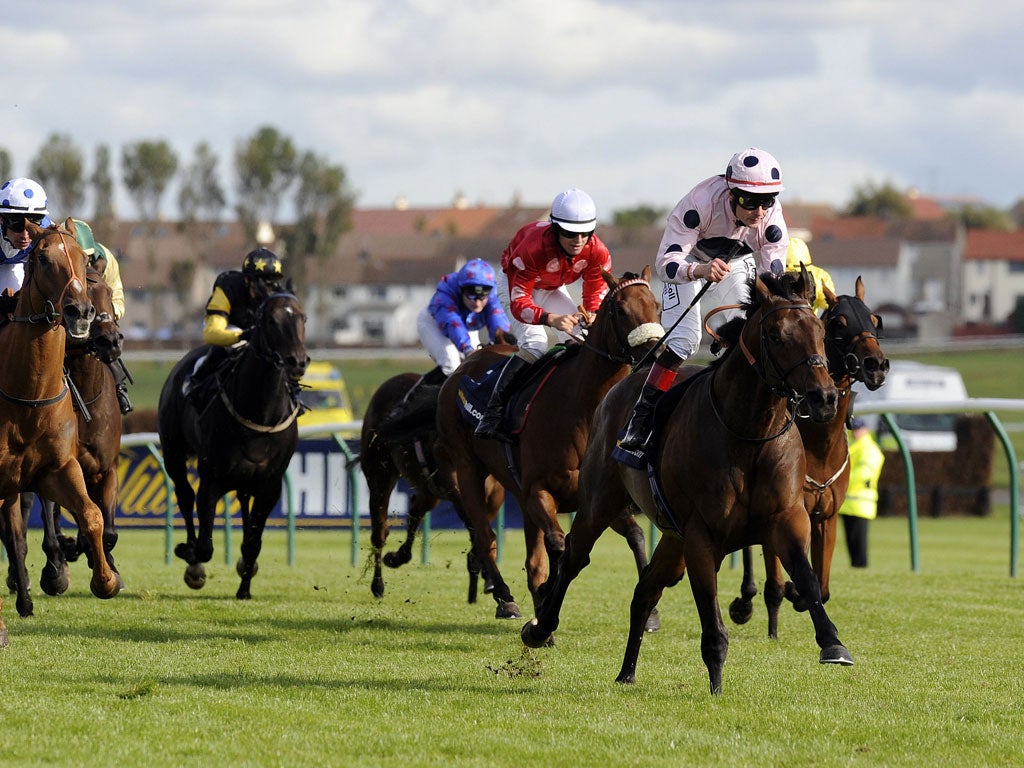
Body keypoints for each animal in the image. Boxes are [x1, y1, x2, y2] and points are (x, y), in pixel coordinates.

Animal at [0, 222, 120, 643]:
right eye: (42, 257)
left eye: (84, 260)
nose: (80, 312)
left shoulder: (58, 469)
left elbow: (92, 515)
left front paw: (105, 580)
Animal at [155, 290, 307, 598]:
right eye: (271, 320)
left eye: (303, 318)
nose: (297, 362)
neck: (259, 413)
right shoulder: (211, 479)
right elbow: (205, 546)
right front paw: (190, 558)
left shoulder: (270, 486)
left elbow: (253, 543)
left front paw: (244, 588)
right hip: (174, 452)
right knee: (185, 496)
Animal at [434, 268, 663, 622]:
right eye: (622, 310)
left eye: (658, 305)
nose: (656, 353)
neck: (583, 412)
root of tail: (466, 365)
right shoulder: (539, 492)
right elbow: (559, 544)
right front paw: (546, 600)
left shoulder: (596, 499)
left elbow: (635, 536)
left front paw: (650, 613)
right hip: (469, 468)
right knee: (485, 536)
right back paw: (505, 597)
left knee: (530, 559)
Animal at [524, 272, 843, 696]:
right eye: (776, 335)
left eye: (820, 332)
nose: (823, 397)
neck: (748, 432)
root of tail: (627, 380)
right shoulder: (700, 537)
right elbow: (712, 619)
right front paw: (717, 685)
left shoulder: (787, 519)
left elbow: (807, 582)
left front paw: (833, 644)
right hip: (600, 503)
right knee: (575, 556)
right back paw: (540, 628)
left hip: (671, 540)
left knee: (645, 592)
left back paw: (626, 672)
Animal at [729, 276, 888, 638]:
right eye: (838, 323)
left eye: (874, 320)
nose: (876, 364)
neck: (818, 445)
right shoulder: (779, 511)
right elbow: (776, 581)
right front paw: (779, 606)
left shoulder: (826, 517)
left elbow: (822, 586)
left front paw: (799, 593)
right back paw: (745, 601)